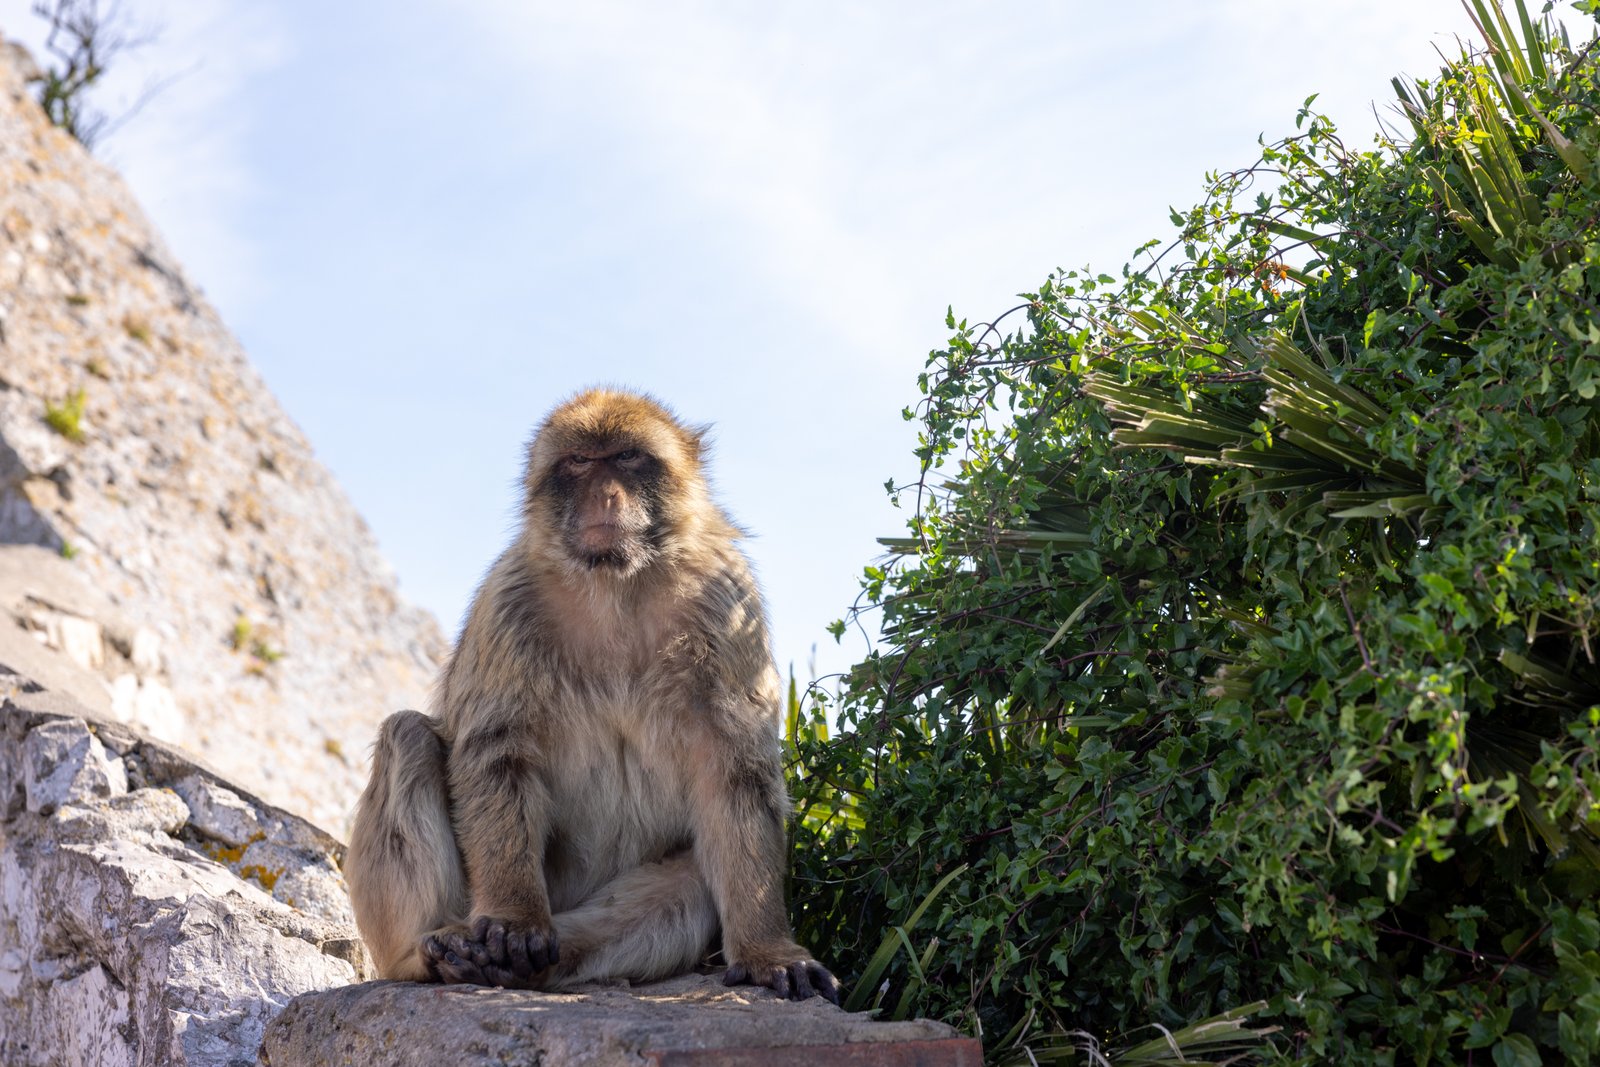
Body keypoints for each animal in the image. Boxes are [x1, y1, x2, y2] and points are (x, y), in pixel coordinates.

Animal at [345, 388, 839, 1004]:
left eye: (627, 458)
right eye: (579, 463)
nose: (605, 494)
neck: (615, 587)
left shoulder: (728, 603)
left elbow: (737, 774)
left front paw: (768, 952)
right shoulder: (509, 599)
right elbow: (496, 751)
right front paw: (513, 920)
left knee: (689, 881)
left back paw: (514, 968)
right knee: (407, 735)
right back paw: (433, 955)